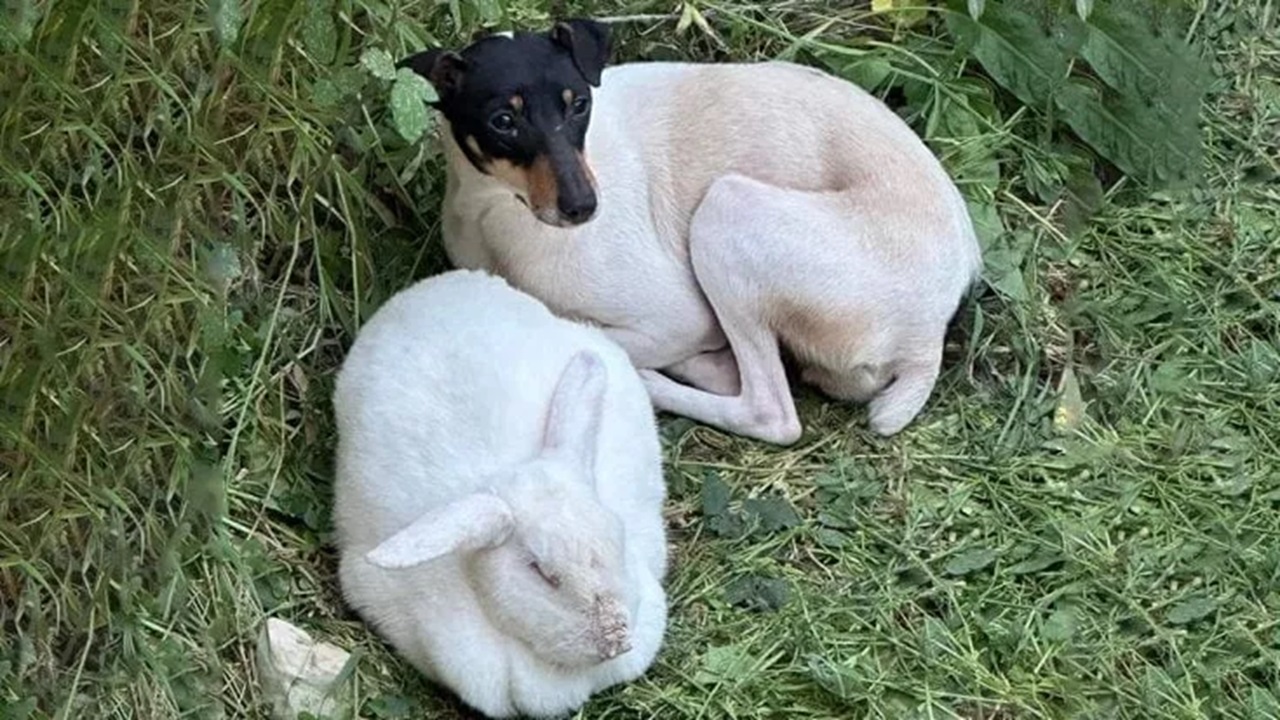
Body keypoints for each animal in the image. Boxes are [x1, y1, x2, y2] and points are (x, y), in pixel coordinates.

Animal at [399, 18, 977, 443]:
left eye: (579, 104)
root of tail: (928, 336)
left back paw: (659, 380)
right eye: (503, 120)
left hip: (726, 211)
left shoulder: (679, 315)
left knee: (769, 411)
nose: (585, 207)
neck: (497, 214)